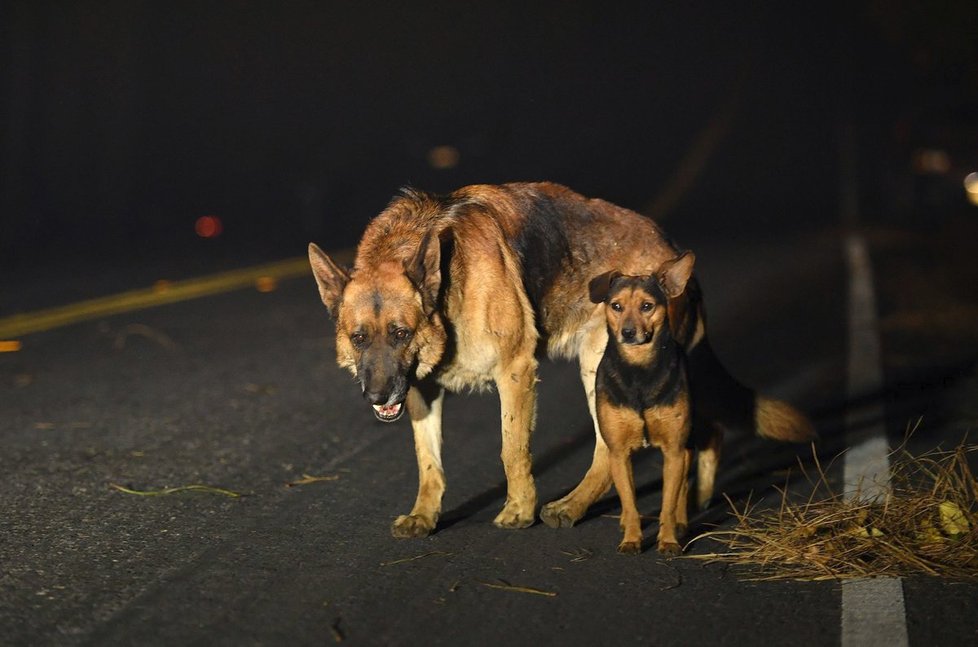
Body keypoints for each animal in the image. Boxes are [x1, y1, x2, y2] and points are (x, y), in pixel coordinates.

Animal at [584, 251, 712, 556]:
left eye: (647, 306)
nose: (628, 332)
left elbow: (668, 502)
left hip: (686, 444)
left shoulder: (674, 451)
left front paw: (668, 540)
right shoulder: (618, 452)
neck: (639, 371)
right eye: (616, 306)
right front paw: (631, 539)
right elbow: (630, 502)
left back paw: (680, 523)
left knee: (681, 488)